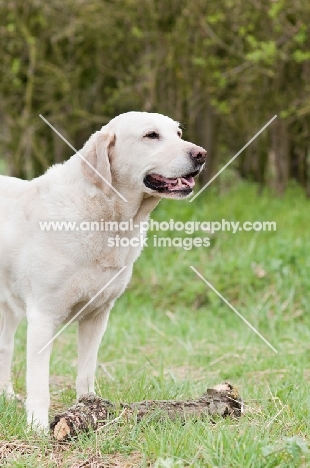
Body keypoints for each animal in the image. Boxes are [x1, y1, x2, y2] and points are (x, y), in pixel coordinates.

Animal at [0, 110, 208, 428]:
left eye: (178, 134)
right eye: (151, 135)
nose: (201, 154)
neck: (108, 219)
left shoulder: (97, 315)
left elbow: (86, 370)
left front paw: (89, 407)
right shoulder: (42, 316)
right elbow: (39, 382)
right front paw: (37, 426)